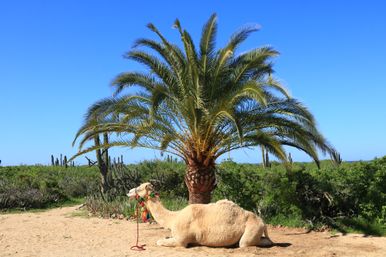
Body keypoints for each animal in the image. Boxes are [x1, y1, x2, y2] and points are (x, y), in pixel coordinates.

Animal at [126, 181, 272, 247]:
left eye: (139, 188)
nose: (128, 191)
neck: (174, 218)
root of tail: (262, 222)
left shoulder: (181, 241)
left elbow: (159, 241)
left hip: (251, 230)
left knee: (245, 243)